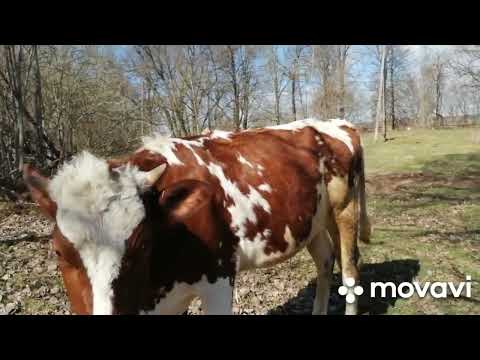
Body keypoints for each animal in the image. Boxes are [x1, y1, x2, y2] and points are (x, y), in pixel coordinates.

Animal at [24, 118, 372, 316]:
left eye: (143, 245)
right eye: (58, 252)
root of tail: (333, 122)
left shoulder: (218, 279)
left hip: (345, 209)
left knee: (350, 269)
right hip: (313, 221)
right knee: (326, 261)